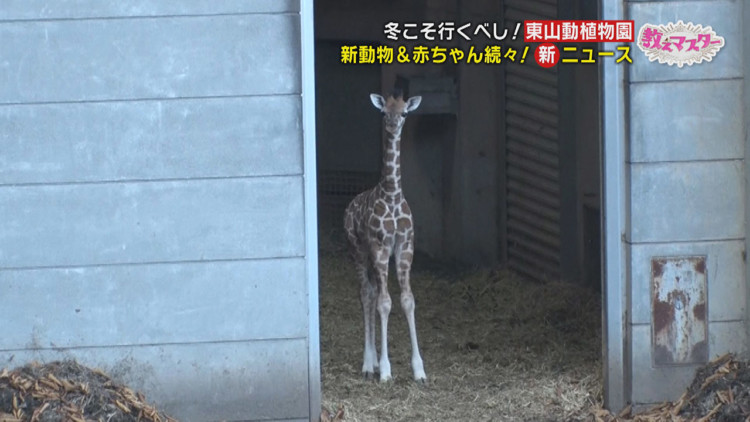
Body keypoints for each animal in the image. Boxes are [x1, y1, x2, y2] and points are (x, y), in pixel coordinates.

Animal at [344, 90, 426, 384]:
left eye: (404, 112)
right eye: (383, 112)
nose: (392, 124)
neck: (391, 193)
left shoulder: (404, 246)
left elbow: (407, 300)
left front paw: (419, 370)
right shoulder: (379, 247)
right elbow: (384, 302)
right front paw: (386, 369)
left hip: (371, 256)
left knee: (371, 291)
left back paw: (373, 362)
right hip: (357, 251)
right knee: (367, 293)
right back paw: (369, 364)